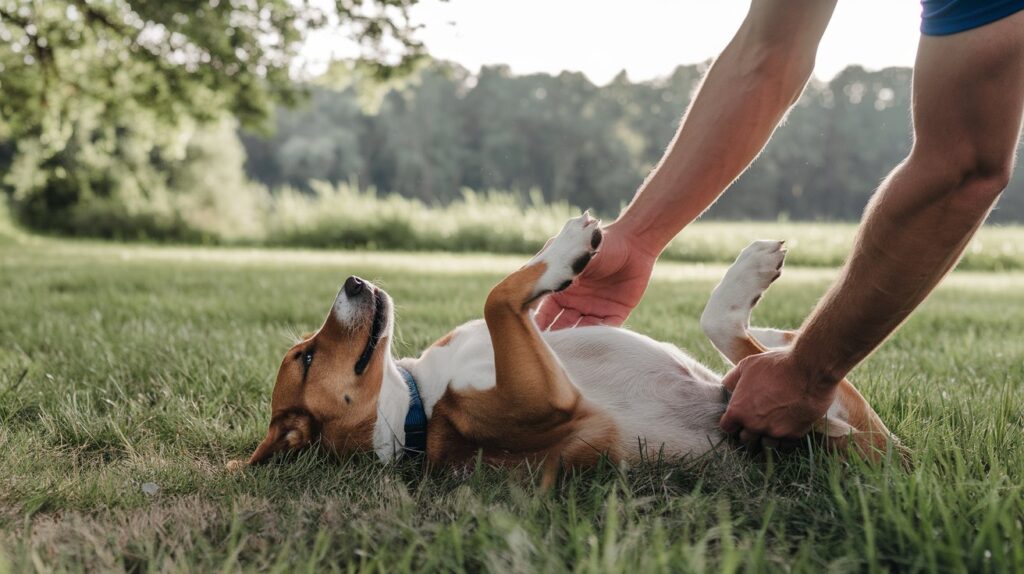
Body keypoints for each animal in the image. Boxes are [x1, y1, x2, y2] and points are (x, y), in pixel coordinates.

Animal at [245, 211, 905, 478]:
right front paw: (564, 248)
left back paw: (753, 283)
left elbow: (508, 300)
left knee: (742, 339)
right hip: (837, 422)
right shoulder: (548, 395)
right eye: (306, 357)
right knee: (764, 353)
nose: (354, 281)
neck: (417, 406)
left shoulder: (542, 336)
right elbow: (497, 294)